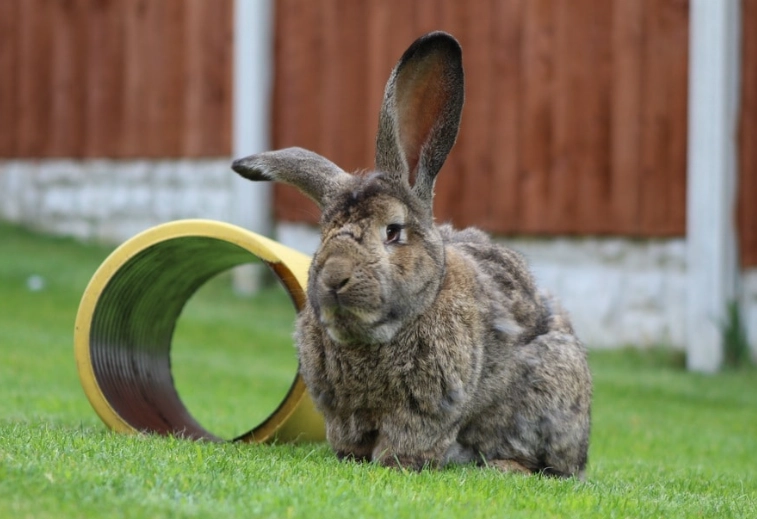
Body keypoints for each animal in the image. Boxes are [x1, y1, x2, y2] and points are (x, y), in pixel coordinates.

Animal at [232, 31, 592, 478]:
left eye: (393, 231)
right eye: (324, 234)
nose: (334, 277)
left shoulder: (426, 408)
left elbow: (409, 441)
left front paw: (395, 463)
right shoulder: (343, 413)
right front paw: (352, 457)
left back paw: (505, 467)